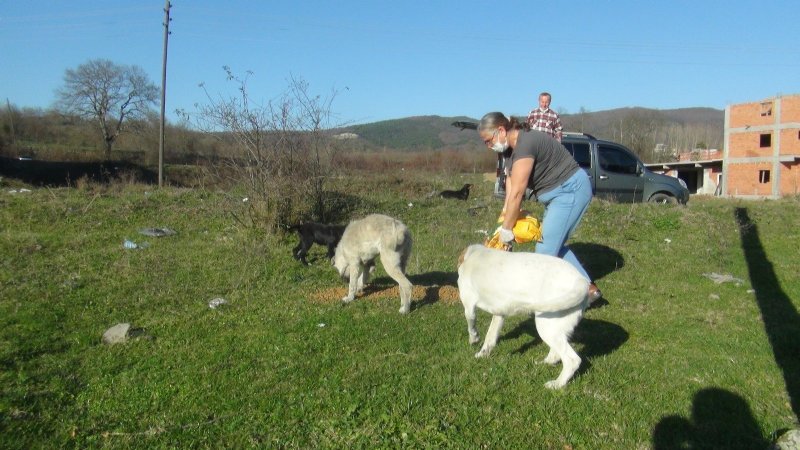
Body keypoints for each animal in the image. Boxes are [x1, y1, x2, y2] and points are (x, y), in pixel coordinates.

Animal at [456, 244, 588, 388]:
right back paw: (543, 364)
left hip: (546, 327)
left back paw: (557, 384)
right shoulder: (499, 314)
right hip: (554, 330)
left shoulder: (469, 306)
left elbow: (471, 326)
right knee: (555, 355)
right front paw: (483, 354)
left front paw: (474, 340)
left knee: (572, 360)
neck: (475, 254)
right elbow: (490, 337)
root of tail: (581, 281)